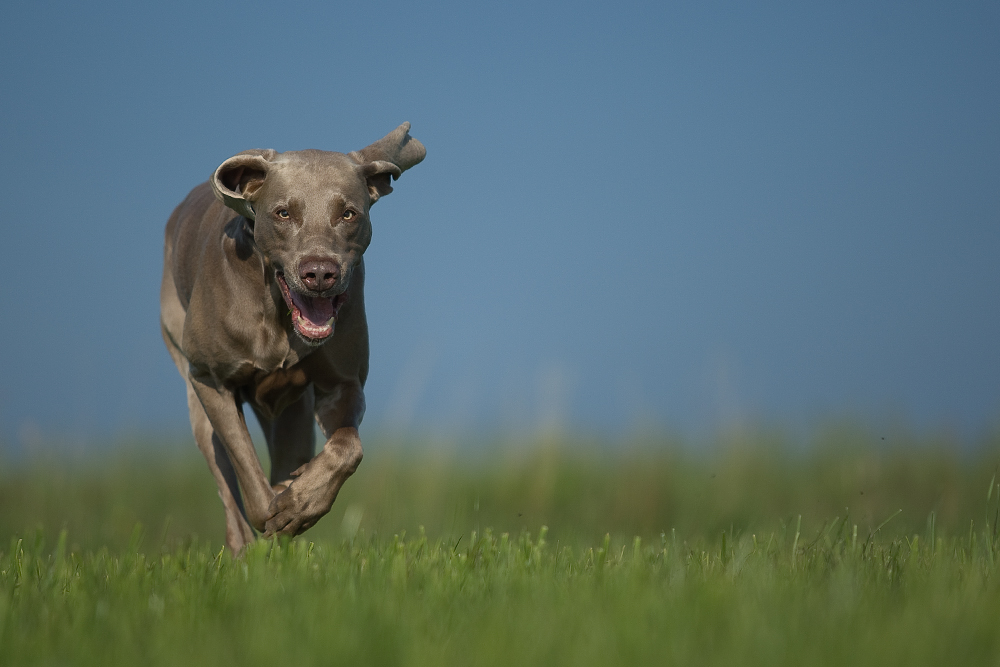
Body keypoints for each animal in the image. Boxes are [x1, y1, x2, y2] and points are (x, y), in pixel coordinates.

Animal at [161, 122, 426, 552]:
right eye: (283, 213)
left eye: (348, 213)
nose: (319, 273)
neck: (278, 315)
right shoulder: (210, 379)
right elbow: (246, 468)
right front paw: (275, 510)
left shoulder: (343, 383)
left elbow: (348, 446)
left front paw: (301, 503)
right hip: (194, 391)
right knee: (225, 479)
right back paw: (245, 545)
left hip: (293, 414)